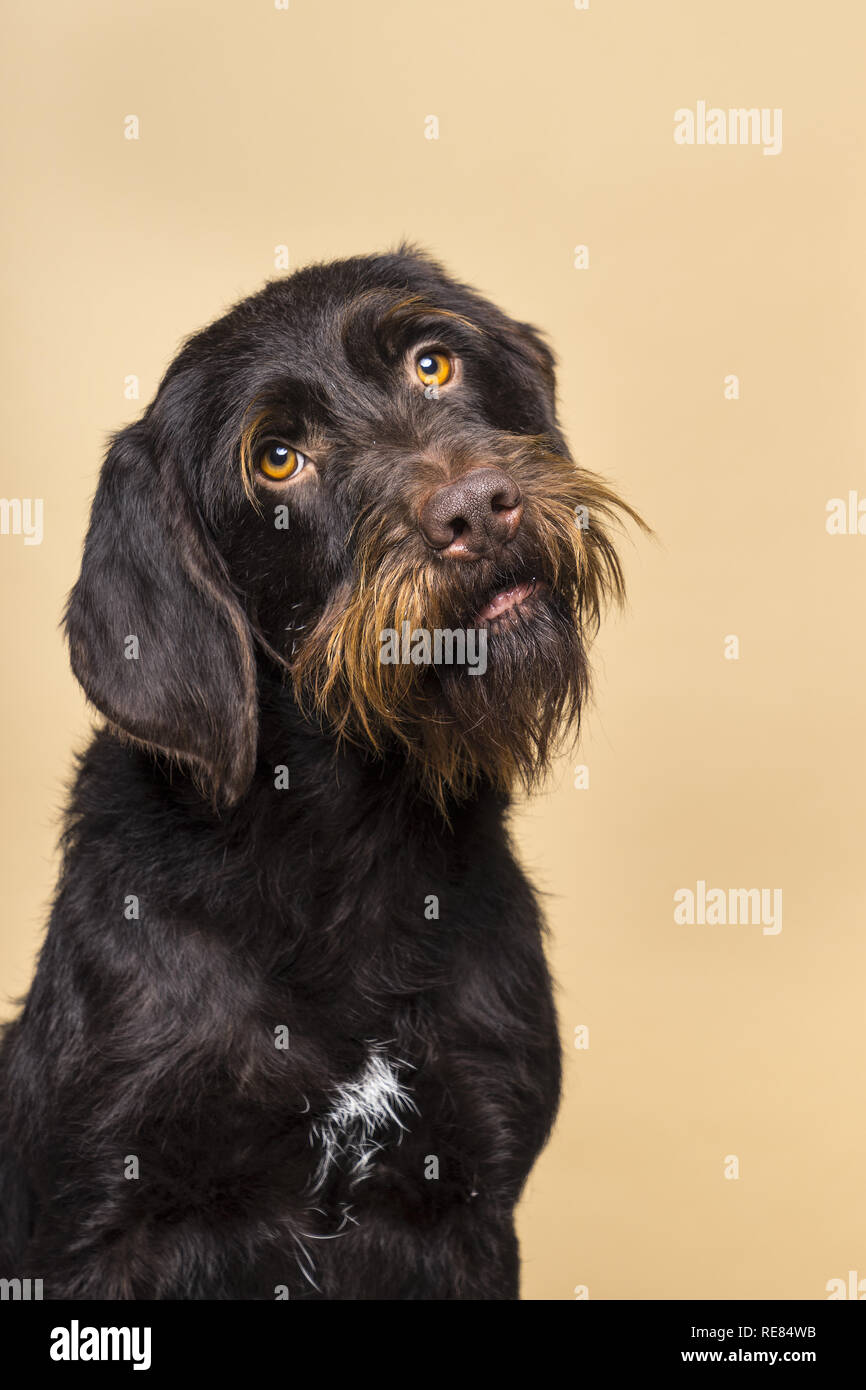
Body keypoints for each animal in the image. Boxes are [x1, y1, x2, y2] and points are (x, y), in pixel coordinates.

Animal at [0, 244, 636, 1295]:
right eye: (276, 460)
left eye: (432, 362)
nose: (476, 509)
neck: (348, 844)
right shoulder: (102, 1225)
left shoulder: (466, 1202)